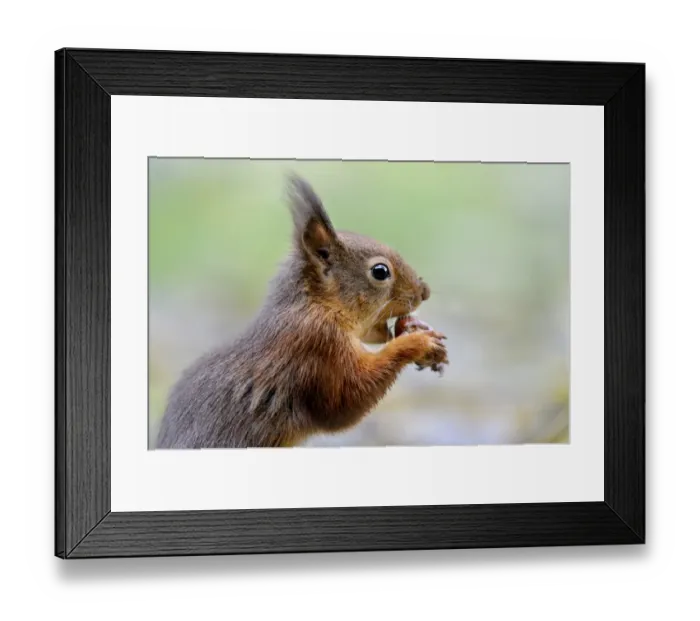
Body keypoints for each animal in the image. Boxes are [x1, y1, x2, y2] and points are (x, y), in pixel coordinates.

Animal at [156, 175, 448, 449]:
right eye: (380, 271)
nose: (424, 292)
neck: (315, 306)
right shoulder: (317, 346)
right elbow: (345, 403)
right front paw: (417, 342)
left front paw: (411, 327)